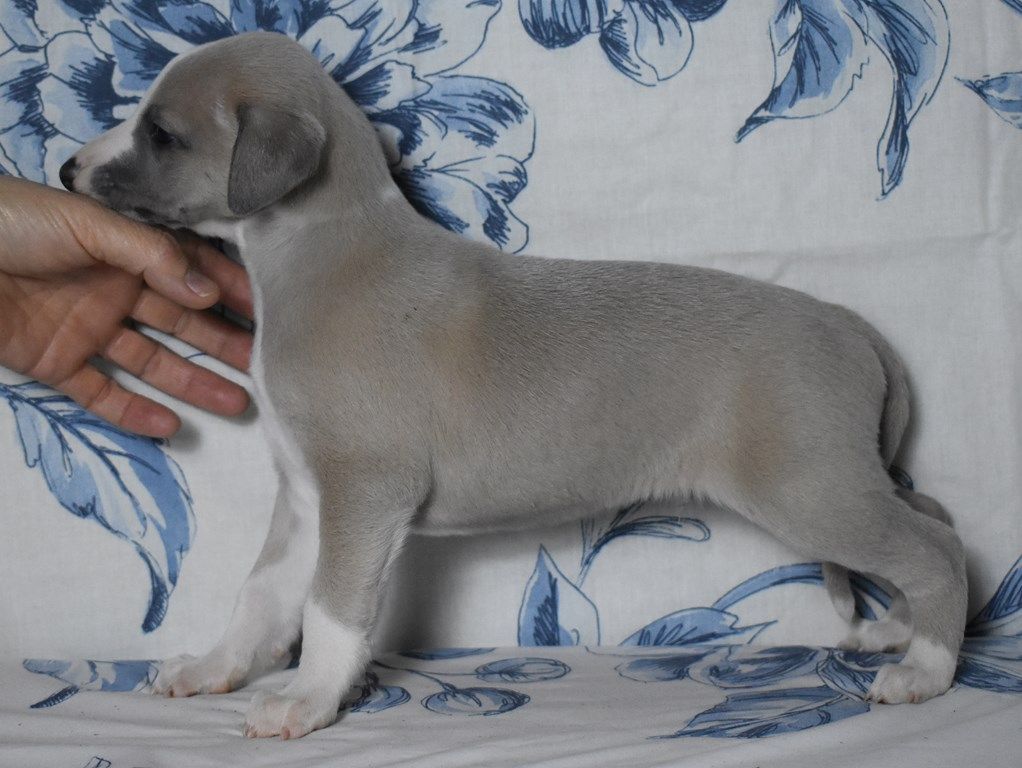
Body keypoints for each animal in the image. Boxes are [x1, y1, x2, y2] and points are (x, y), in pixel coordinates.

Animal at [60, 31, 968, 739]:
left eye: (163, 134)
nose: (67, 169)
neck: (327, 245)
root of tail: (850, 325)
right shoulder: (308, 498)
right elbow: (262, 594)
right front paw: (215, 667)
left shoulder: (365, 488)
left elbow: (329, 607)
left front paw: (308, 699)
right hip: (845, 478)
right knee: (934, 516)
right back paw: (898, 632)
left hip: (810, 487)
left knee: (936, 548)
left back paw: (926, 667)